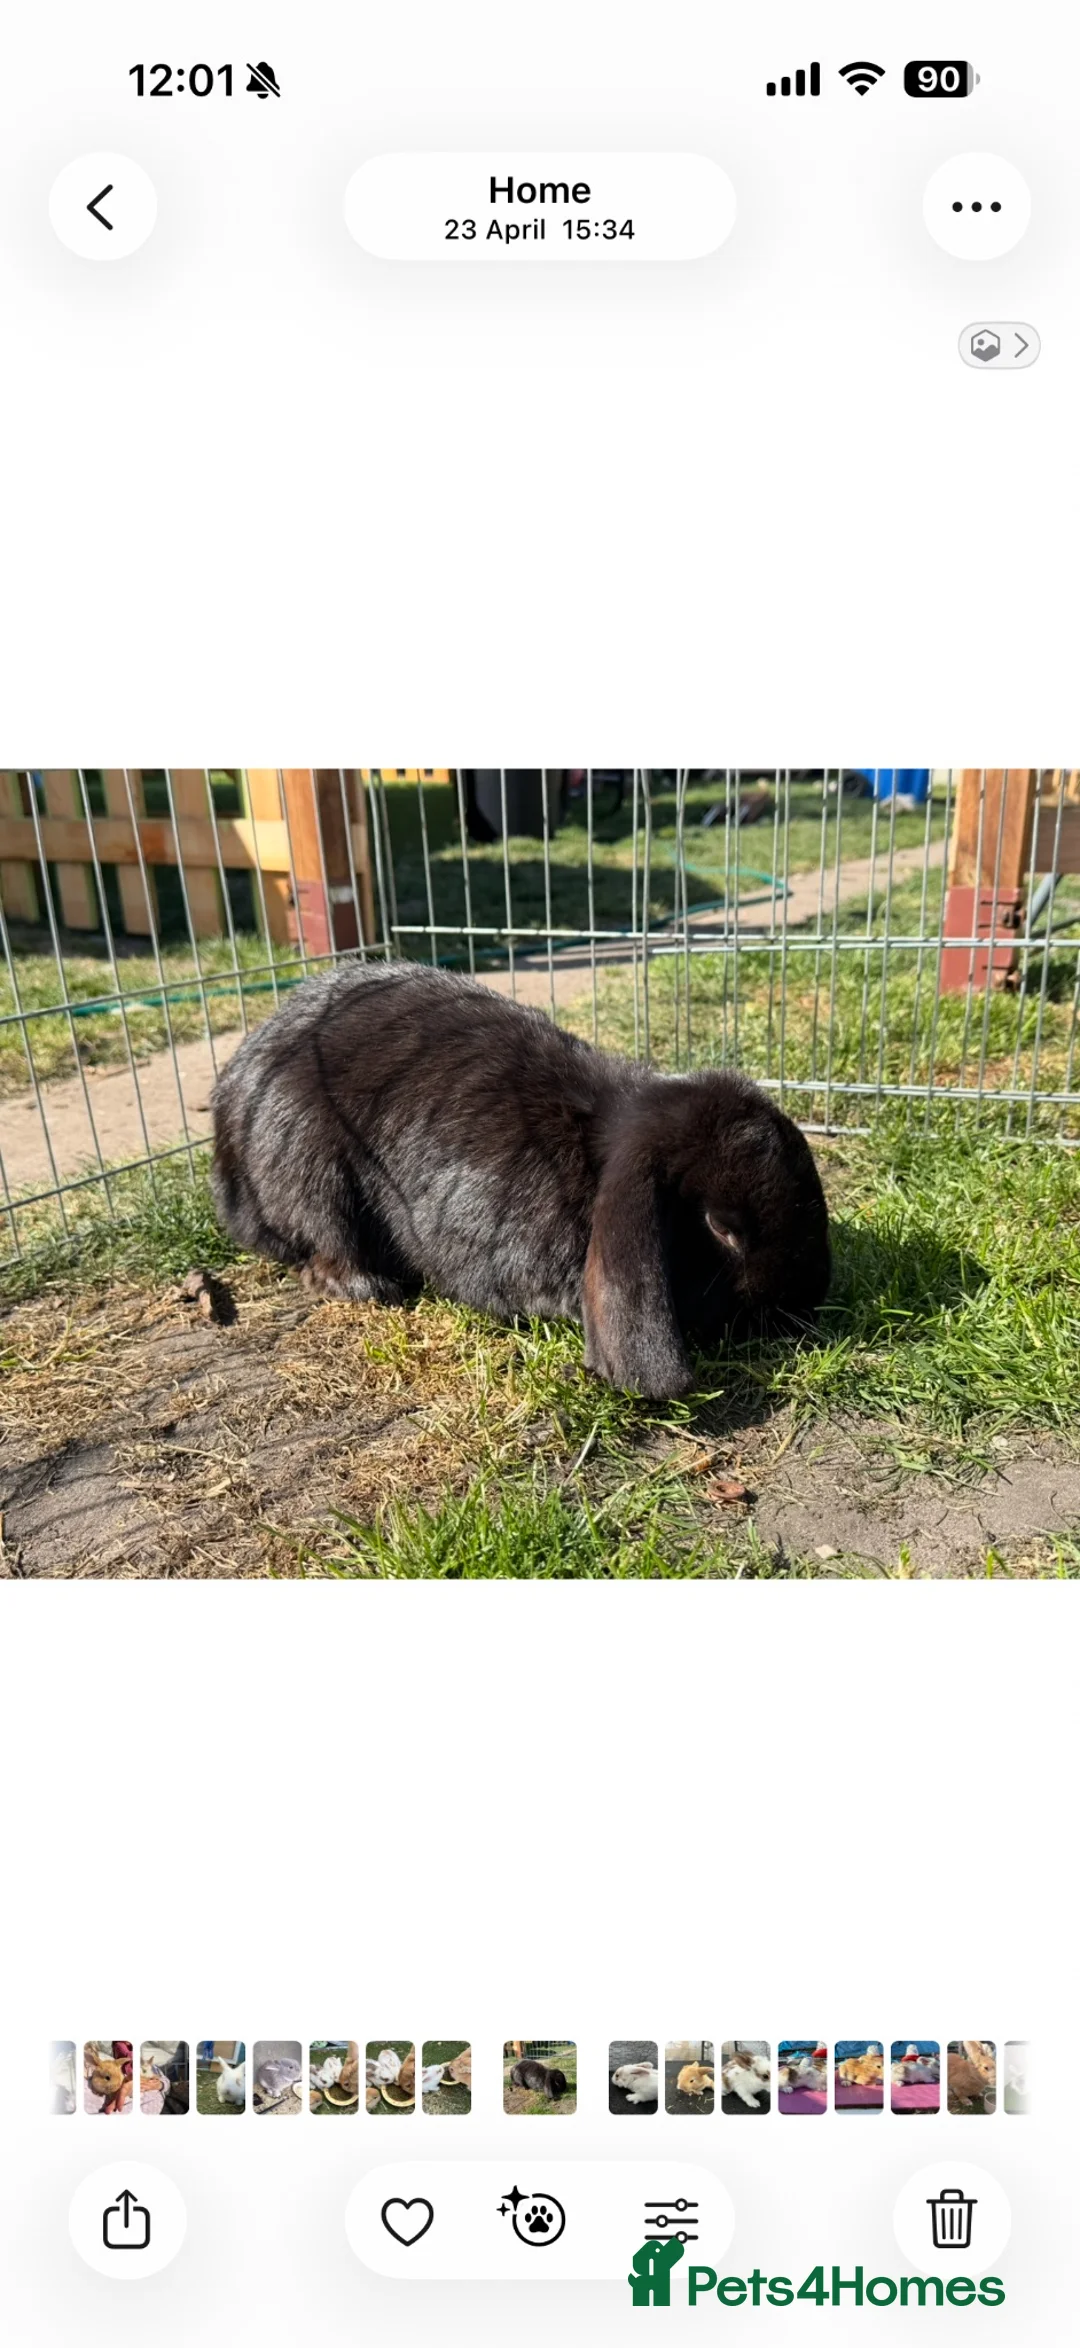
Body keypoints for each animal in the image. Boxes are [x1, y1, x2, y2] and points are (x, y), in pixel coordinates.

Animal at [210, 963, 830, 1401]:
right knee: (323, 1245)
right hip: (309, 1169)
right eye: (722, 1229)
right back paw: (372, 1286)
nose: (809, 1303)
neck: (593, 1157)